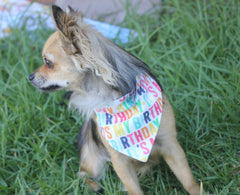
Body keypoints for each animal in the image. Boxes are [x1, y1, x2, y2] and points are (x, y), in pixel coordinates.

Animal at [28, 4, 204, 195]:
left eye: (47, 62)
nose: (30, 76)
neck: (121, 99)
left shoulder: (171, 145)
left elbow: (189, 181)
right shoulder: (119, 160)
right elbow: (134, 189)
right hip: (93, 159)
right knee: (82, 175)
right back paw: (95, 186)